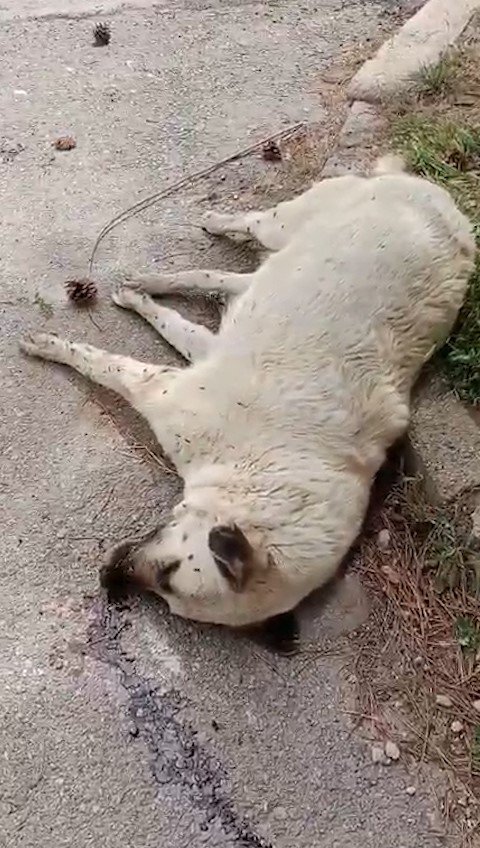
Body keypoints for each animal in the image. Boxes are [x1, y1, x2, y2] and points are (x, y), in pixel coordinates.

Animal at [20, 156, 474, 640]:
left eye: (167, 585)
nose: (109, 578)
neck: (256, 472)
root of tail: (446, 206)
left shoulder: (189, 373)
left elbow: (165, 332)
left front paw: (134, 305)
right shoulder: (167, 390)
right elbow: (100, 360)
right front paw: (48, 345)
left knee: (224, 281)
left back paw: (150, 282)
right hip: (285, 221)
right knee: (246, 234)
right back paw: (206, 230)